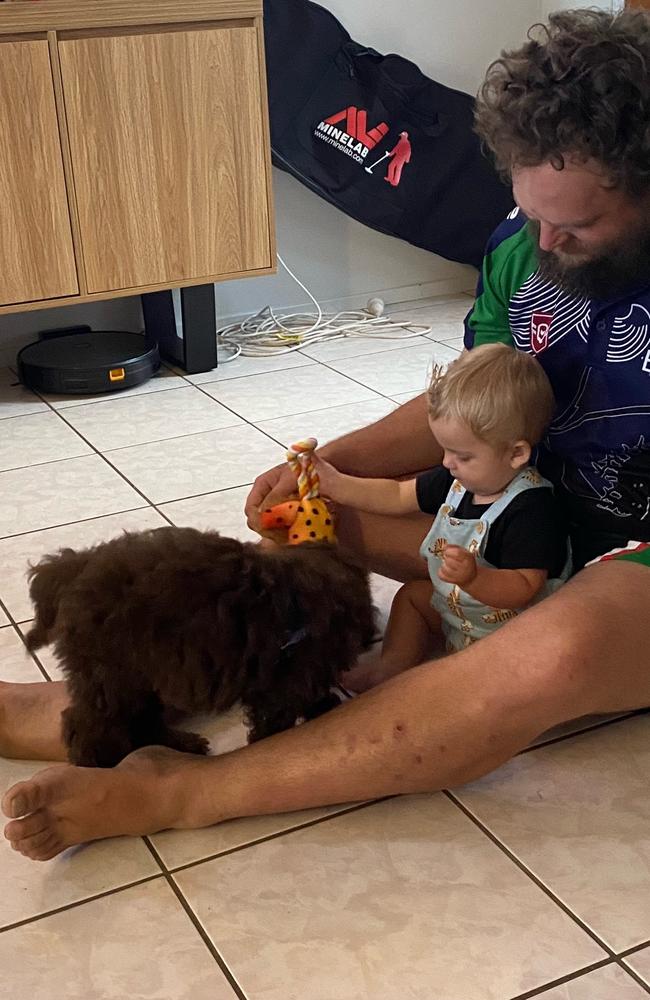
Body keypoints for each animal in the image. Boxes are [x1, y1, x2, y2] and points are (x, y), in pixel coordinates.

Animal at [25, 532, 372, 764]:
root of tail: (73, 567)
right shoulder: (285, 681)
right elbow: (278, 715)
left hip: (139, 673)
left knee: (141, 719)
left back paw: (179, 745)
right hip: (113, 674)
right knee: (90, 726)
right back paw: (100, 762)